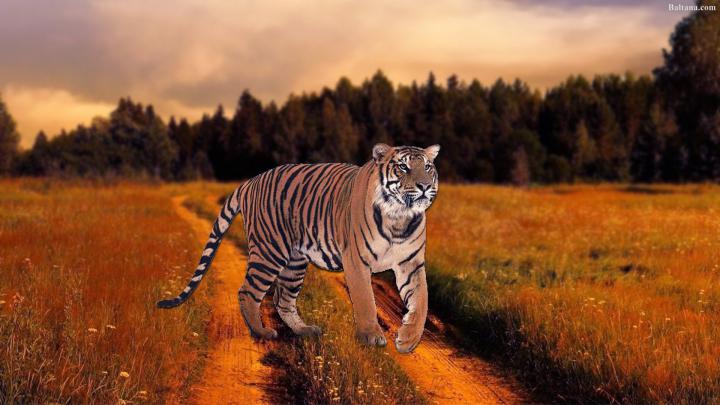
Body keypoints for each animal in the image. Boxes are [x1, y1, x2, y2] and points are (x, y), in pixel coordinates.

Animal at [158, 143, 440, 353]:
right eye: (403, 167)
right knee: (248, 291)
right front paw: (371, 336)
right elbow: (366, 301)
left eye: (427, 167)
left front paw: (408, 341)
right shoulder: (356, 261)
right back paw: (261, 332)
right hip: (269, 251)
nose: (425, 186)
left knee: (282, 299)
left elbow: (421, 301)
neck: (399, 218)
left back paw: (304, 330)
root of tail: (251, 180)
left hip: (294, 263)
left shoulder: (412, 264)